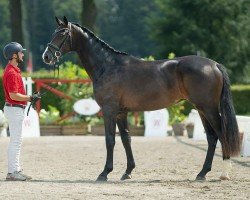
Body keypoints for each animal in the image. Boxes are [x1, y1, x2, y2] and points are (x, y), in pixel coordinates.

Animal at [42, 16, 240, 181]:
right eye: (53, 32)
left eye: (62, 33)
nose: (47, 56)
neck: (108, 66)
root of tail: (214, 64)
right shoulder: (121, 113)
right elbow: (126, 139)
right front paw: (127, 172)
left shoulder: (109, 110)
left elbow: (110, 140)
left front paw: (104, 173)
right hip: (201, 109)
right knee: (212, 137)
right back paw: (202, 173)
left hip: (209, 108)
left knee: (221, 134)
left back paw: (224, 173)